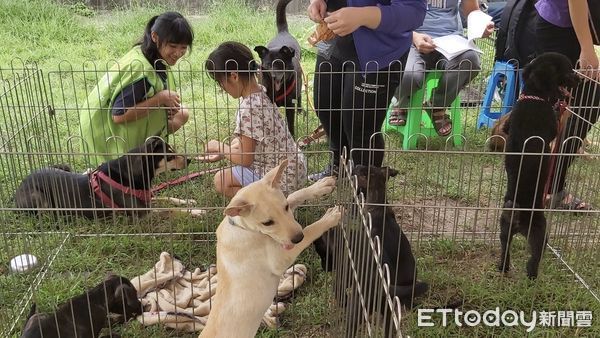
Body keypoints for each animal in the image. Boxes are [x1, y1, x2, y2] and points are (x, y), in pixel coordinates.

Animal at [14, 138, 188, 219]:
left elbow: (166, 198)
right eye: (170, 154)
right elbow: (171, 210)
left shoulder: (146, 198)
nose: (190, 160)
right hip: (39, 198)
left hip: (63, 166)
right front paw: (193, 211)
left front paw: (185, 201)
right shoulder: (142, 212)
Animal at [199, 160, 342, 336]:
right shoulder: (281, 256)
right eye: (267, 223)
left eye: (285, 207)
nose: (298, 237)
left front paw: (321, 186)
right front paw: (330, 217)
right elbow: (310, 230)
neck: (243, 228)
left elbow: (293, 195)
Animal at [254, 0, 302, 138]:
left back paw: (300, 110)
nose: (274, 76)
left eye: (280, 64)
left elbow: (290, 124)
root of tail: (283, 32)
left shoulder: (290, 105)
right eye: (268, 65)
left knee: (300, 96)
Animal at [500, 52, 580, 278]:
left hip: (504, 230)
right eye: (568, 69)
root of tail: (518, 216)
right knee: (533, 260)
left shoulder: (508, 126)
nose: (580, 79)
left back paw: (503, 269)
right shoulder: (552, 128)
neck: (532, 97)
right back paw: (532, 277)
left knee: (505, 250)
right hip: (540, 233)